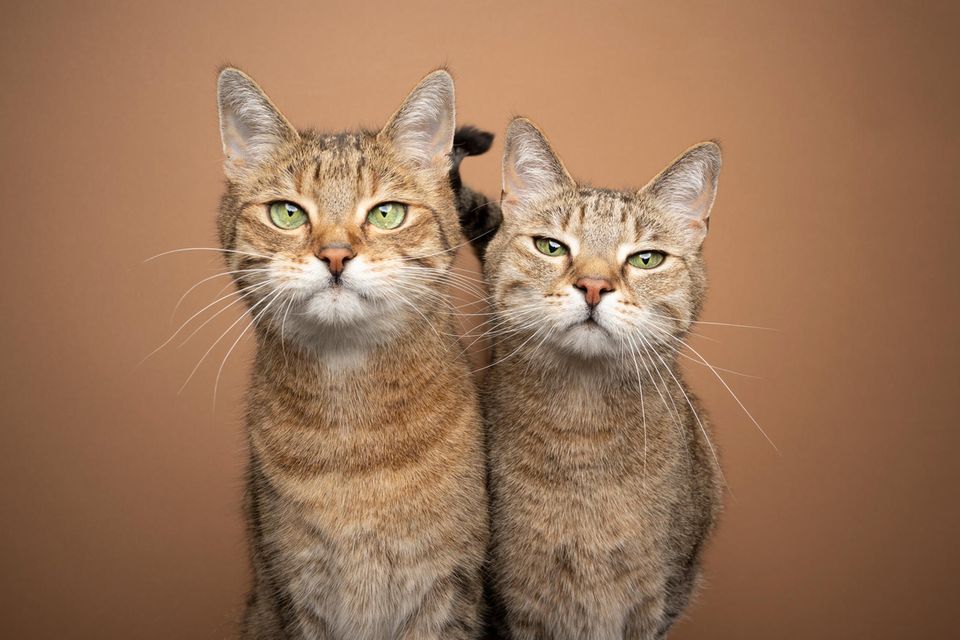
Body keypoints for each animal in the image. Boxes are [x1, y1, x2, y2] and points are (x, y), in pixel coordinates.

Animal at [484, 117, 724, 636]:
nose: (594, 286)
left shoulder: (660, 597)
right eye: (550, 246)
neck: (584, 434)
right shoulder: (516, 603)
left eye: (646, 259)